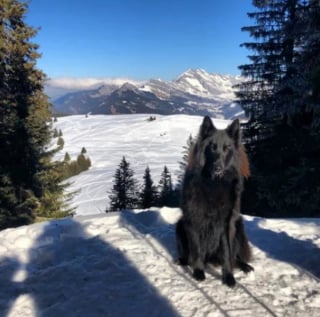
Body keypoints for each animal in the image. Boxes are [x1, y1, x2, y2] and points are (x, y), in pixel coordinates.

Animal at [176, 115, 254, 286]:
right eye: (212, 147)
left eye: (227, 148)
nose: (218, 168)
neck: (214, 184)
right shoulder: (193, 220)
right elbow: (196, 250)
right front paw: (198, 272)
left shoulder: (225, 224)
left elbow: (226, 253)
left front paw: (229, 277)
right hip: (179, 226)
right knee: (188, 254)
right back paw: (183, 261)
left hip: (238, 226)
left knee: (235, 256)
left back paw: (244, 266)